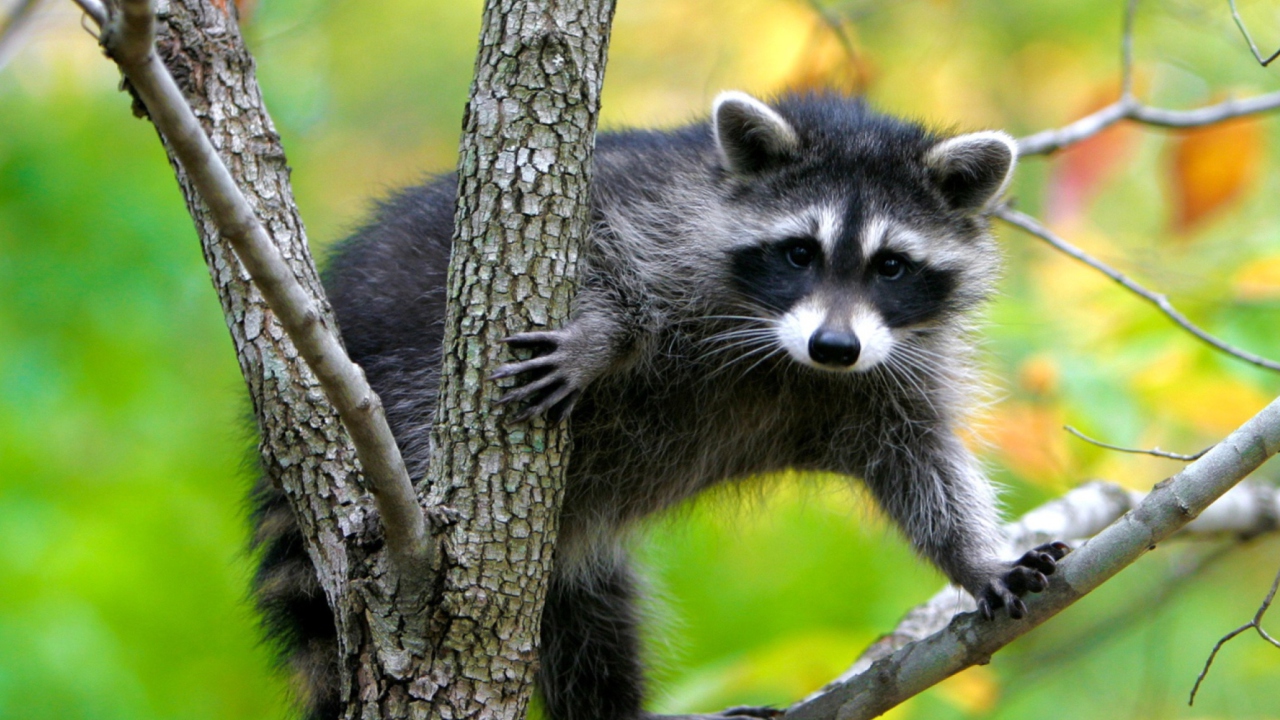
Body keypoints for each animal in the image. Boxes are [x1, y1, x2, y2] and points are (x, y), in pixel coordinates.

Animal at [252, 89, 1070, 717]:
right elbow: (600, 250)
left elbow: (919, 464)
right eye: (799, 252)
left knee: (586, 618)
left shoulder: (889, 373)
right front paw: (601, 335)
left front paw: (976, 558)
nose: (834, 347)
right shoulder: (656, 214)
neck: (785, 355)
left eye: (892, 266)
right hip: (406, 377)